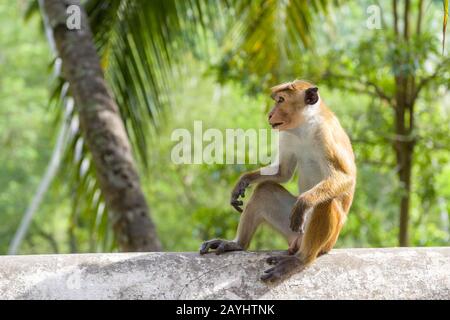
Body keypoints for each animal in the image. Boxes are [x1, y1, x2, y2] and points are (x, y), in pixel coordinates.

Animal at [200, 80, 356, 282]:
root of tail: (298, 242)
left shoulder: (326, 134)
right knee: (264, 190)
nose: (270, 114)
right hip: (292, 230)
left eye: (281, 100)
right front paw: (243, 180)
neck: (304, 127)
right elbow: (283, 172)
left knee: (326, 201)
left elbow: (346, 177)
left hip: (327, 239)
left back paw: (300, 260)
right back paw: (238, 244)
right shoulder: (287, 134)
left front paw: (304, 201)